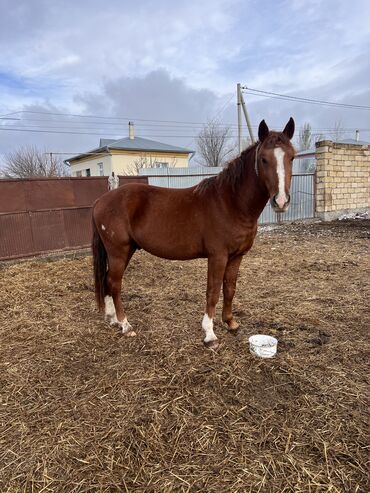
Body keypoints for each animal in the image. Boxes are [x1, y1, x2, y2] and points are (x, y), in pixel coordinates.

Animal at [92, 117, 294, 346]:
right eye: (263, 159)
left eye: (292, 157)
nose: (281, 201)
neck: (231, 203)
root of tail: (101, 200)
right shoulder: (217, 256)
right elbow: (213, 291)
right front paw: (210, 334)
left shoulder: (237, 256)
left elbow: (230, 288)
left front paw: (230, 323)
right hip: (119, 252)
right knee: (115, 283)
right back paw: (125, 325)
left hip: (127, 251)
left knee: (107, 280)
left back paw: (113, 320)